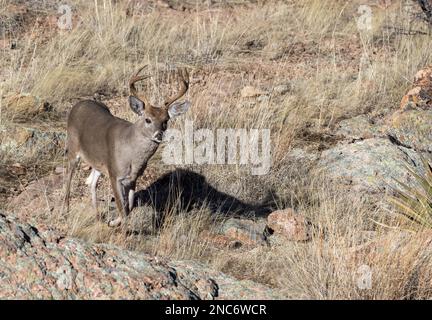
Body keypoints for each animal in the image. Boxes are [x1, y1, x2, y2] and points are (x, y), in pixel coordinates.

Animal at [63, 65, 190, 228]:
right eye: (147, 119)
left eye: (165, 120)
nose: (159, 135)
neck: (132, 157)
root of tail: (78, 104)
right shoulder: (114, 174)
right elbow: (122, 209)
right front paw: (122, 230)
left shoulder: (132, 178)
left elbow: (128, 207)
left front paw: (112, 222)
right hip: (73, 148)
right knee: (68, 177)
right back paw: (65, 212)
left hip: (99, 161)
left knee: (91, 182)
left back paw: (97, 216)